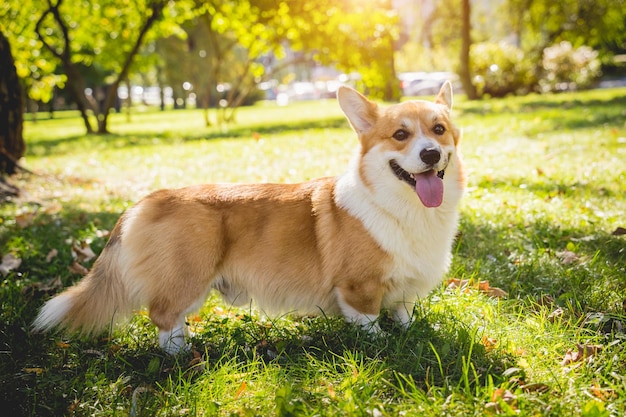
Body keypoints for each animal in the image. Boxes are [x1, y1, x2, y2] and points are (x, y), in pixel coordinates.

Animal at [34, 82, 464, 354]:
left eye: (439, 130)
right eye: (400, 135)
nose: (430, 154)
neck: (403, 208)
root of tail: (146, 201)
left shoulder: (404, 291)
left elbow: (403, 313)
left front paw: (410, 332)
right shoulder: (358, 289)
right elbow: (370, 324)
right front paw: (382, 346)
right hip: (189, 278)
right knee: (163, 316)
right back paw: (180, 356)